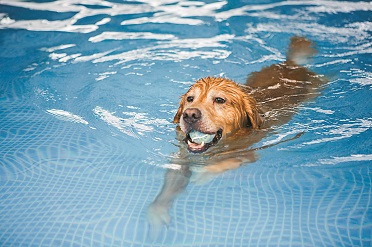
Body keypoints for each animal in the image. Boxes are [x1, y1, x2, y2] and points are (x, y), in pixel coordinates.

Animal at [147, 35, 326, 234]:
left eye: (219, 100)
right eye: (190, 99)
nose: (190, 115)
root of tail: (290, 64)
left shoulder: (249, 150)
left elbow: (228, 162)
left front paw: (203, 174)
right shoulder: (183, 157)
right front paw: (157, 210)